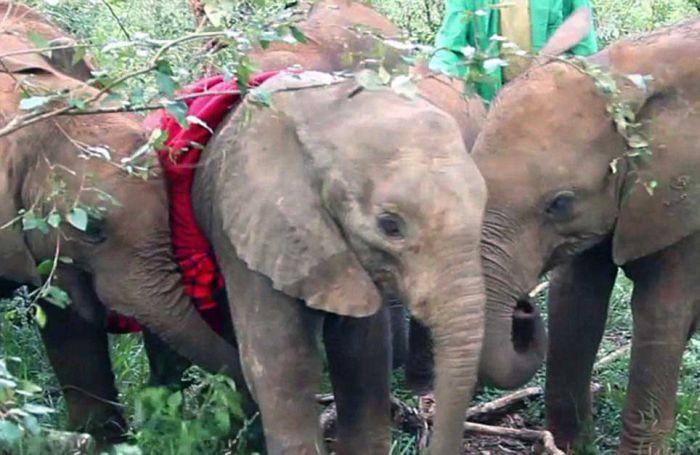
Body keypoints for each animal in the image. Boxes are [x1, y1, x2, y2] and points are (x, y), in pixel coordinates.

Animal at [471, 17, 700, 453]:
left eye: (560, 203)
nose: (523, 309)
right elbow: (576, 299)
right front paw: (568, 447)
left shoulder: (682, 200)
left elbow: (660, 312)